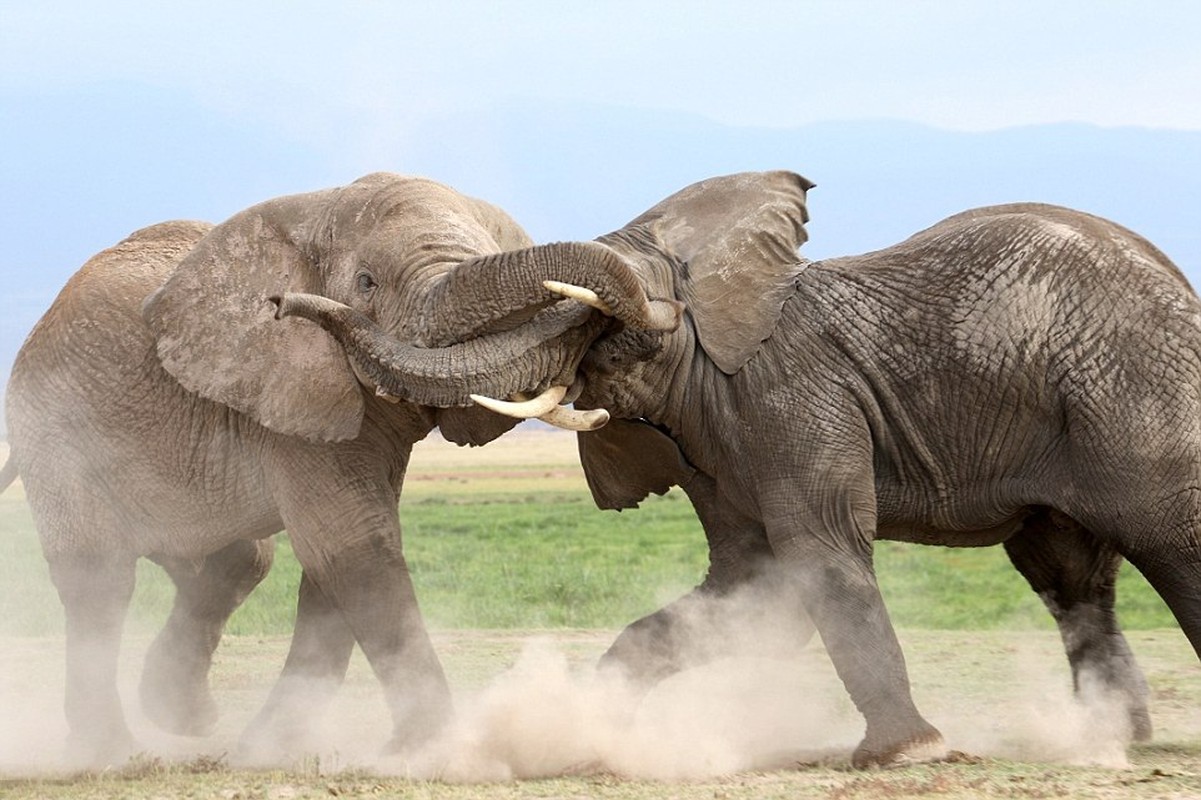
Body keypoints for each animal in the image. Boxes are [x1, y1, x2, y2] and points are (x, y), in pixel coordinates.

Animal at [0, 171, 677, 763]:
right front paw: (436, 749)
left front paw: (272, 749)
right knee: (101, 579)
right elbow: (354, 544)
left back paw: (182, 718)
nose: (285, 305)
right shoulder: (288, 387)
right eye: (366, 281)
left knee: (236, 558)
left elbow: (337, 556)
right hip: (54, 428)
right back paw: (110, 753)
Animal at [458, 169, 1201, 768]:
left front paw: (908, 755)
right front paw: (589, 725)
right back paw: (1111, 734)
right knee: (1071, 579)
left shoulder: (794, 396)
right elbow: (750, 587)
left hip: (1131, 392)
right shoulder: (711, 438)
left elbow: (817, 553)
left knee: (1169, 542)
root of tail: (1178, 286)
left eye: (603, 318)